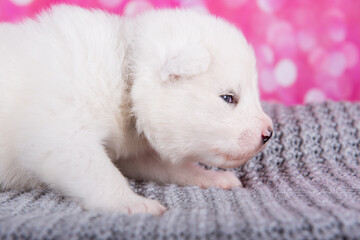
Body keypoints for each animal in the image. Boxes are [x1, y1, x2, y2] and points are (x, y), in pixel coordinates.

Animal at [0, 5, 272, 216]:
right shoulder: (62, 136)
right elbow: (100, 173)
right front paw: (133, 203)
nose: (269, 133)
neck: (125, 74)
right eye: (228, 98)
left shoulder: (133, 155)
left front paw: (212, 177)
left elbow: (171, 167)